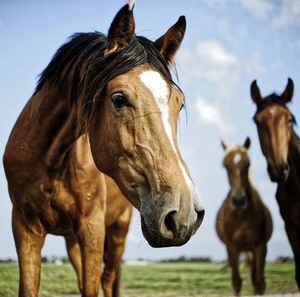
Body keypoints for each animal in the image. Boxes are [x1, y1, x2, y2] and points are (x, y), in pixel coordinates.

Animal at [2, 4, 205, 296]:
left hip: (118, 230)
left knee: (107, 280)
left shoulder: (93, 228)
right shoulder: (25, 227)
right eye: (118, 98)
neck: (50, 160)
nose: (184, 215)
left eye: (179, 103)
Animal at [217, 138, 274, 294]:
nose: (239, 200)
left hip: (250, 250)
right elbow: (237, 282)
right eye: (225, 165)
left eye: (248, 164)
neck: (241, 215)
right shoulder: (232, 247)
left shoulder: (260, 245)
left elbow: (260, 282)